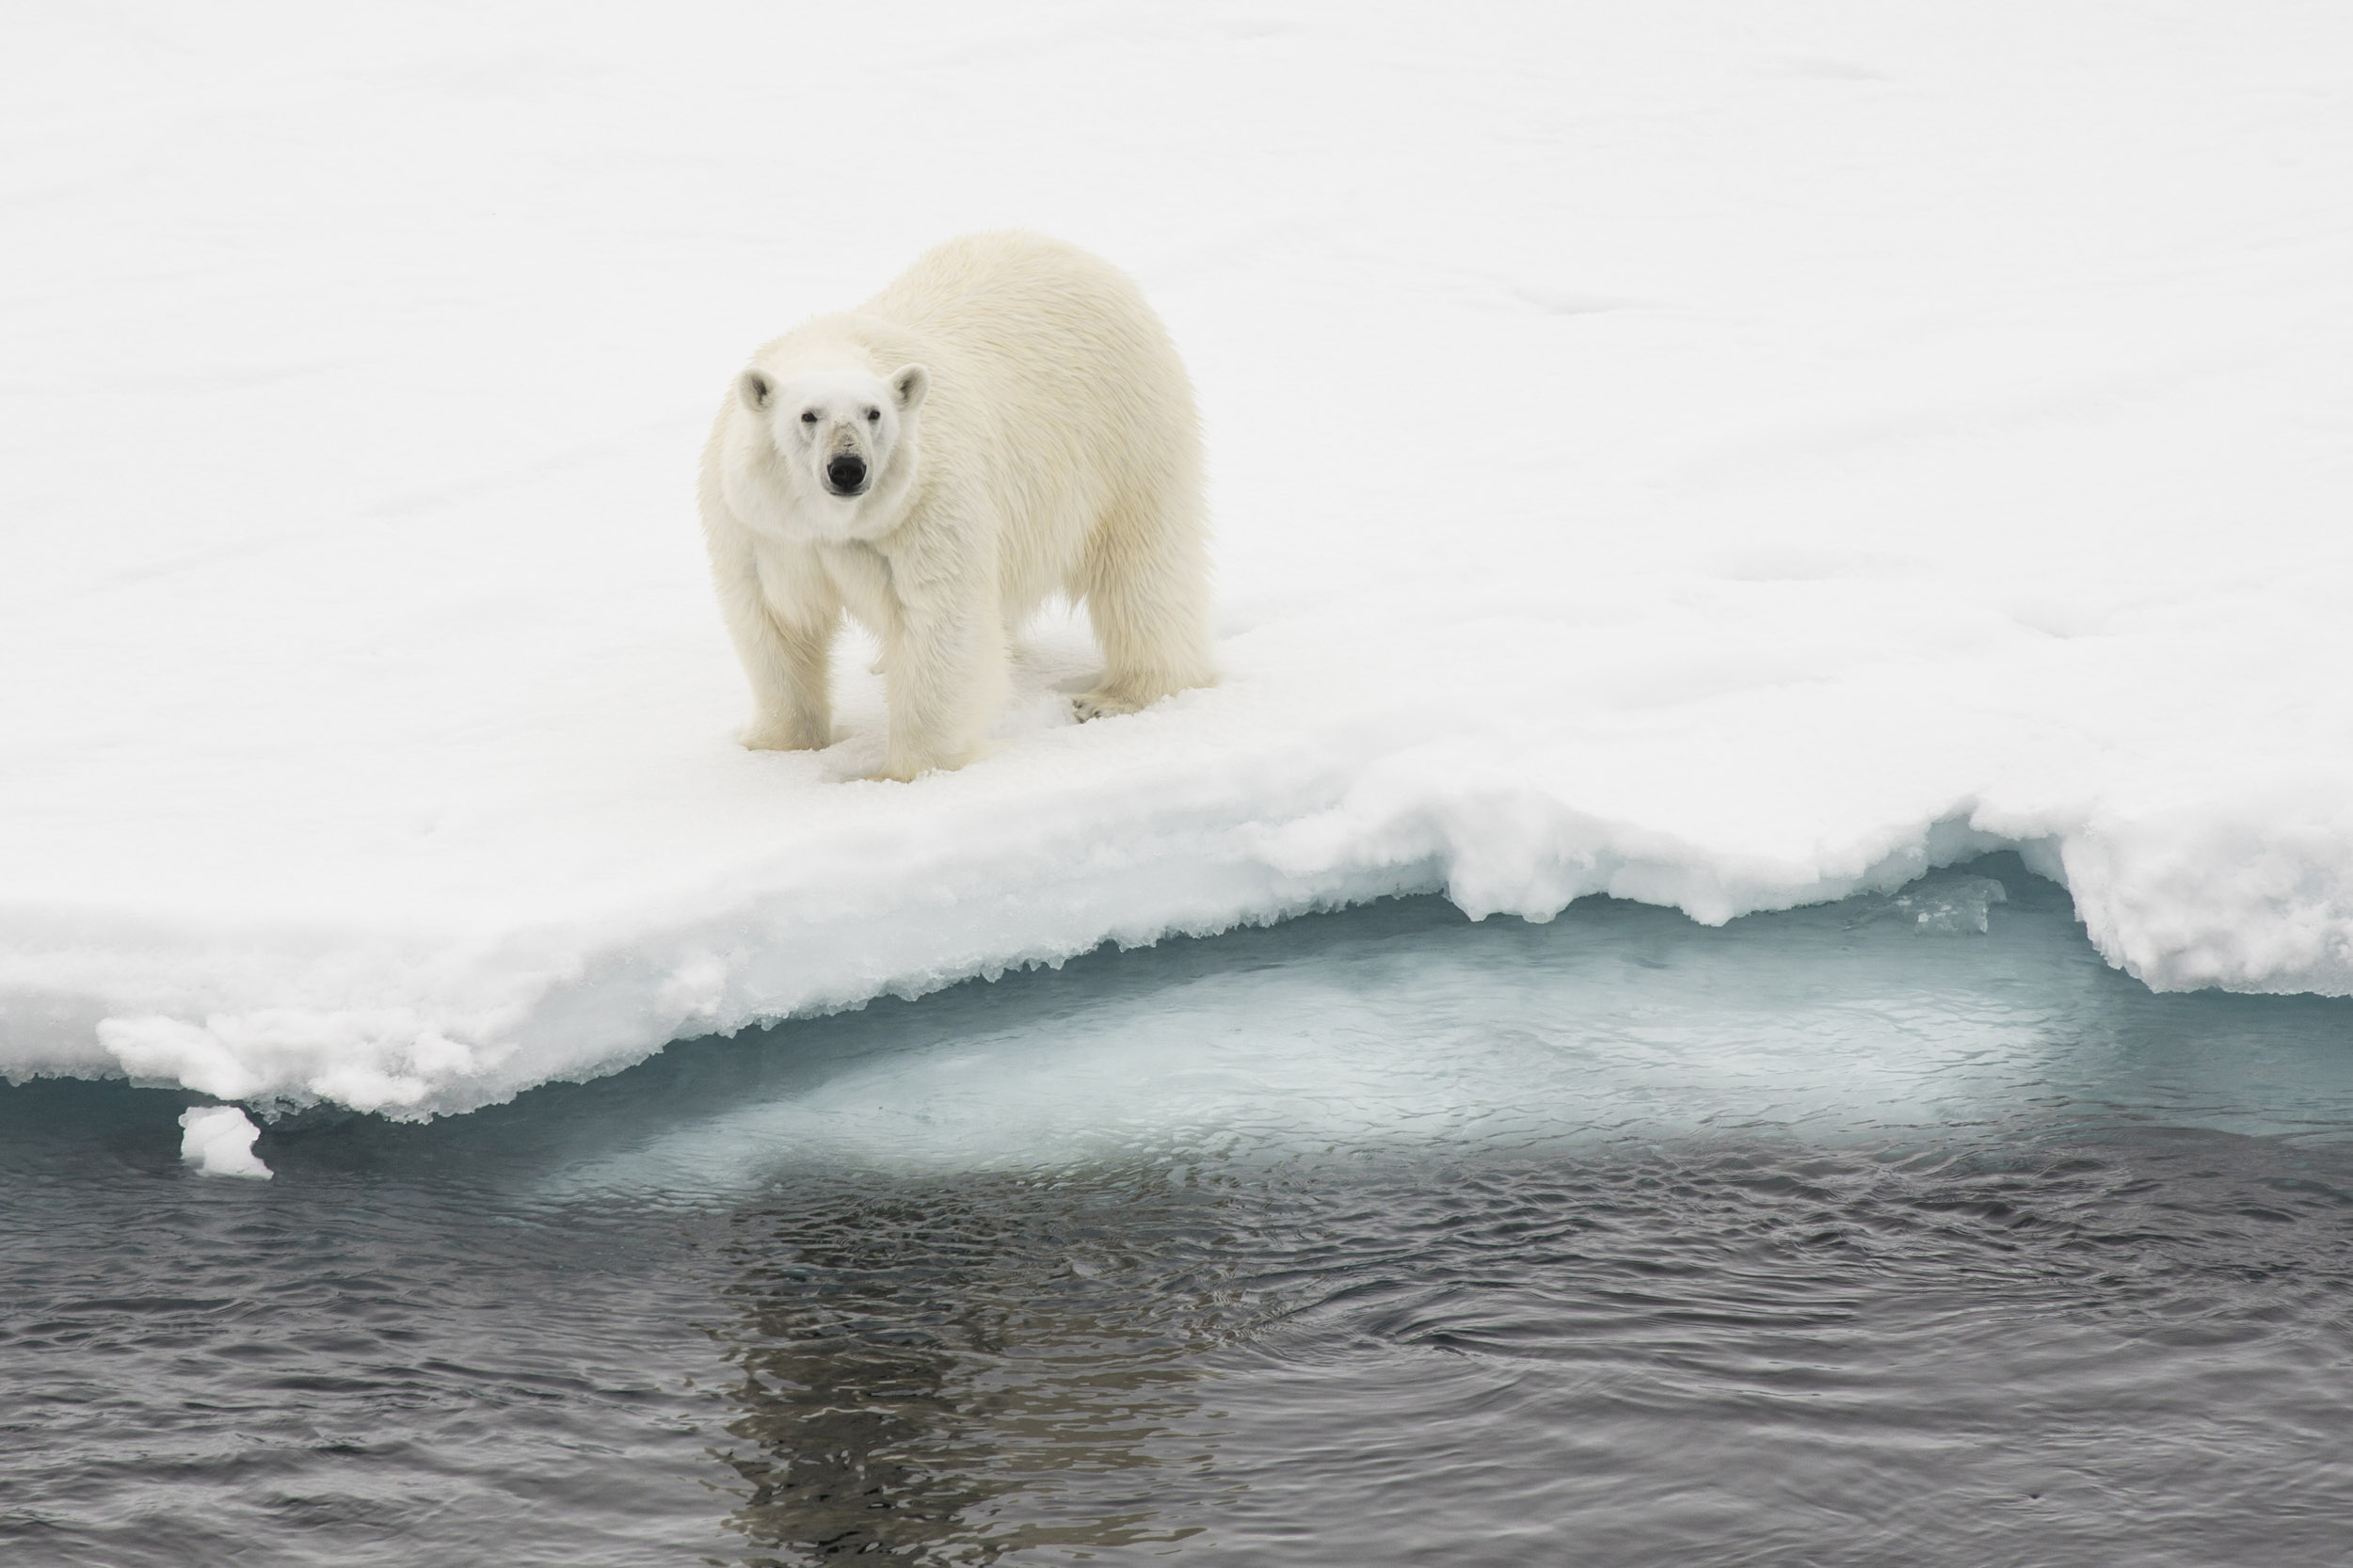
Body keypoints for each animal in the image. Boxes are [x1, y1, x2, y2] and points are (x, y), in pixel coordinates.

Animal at [692, 229, 1214, 776]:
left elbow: (939, 621)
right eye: (808, 415)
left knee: (1143, 571)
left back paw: (1118, 695)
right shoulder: (762, 532)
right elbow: (774, 624)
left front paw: (909, 772)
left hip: (1126, 434)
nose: (848, 468)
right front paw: (775, 747)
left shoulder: (924, 510)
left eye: (874, 413)